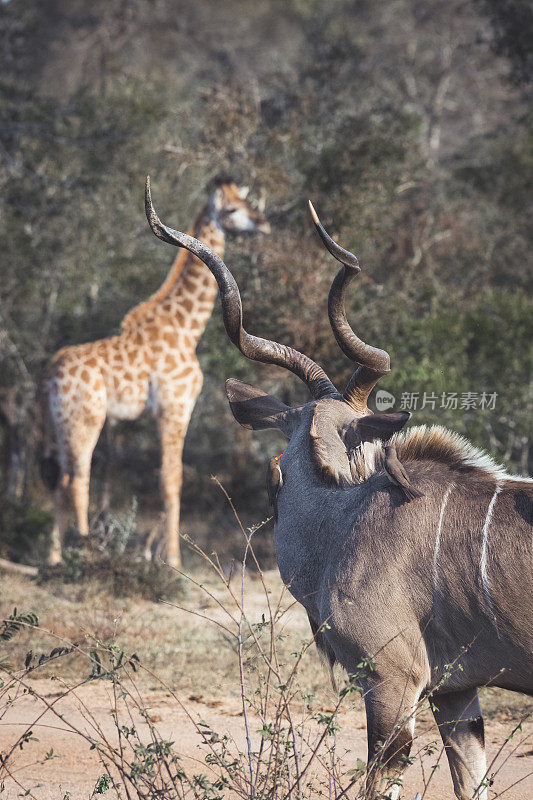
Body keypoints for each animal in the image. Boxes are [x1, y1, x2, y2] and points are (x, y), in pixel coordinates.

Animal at [40, 178, 270, 568]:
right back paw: (87, 553)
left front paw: (155, 553)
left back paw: (54, 557)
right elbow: (171, 479)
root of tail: (49, 375)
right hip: (87, 419)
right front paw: (173, 560)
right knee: (79, 479)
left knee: (63, 478)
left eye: (248, 201)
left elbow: (165, 477)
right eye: (232, 209)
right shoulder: (174, 406)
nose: (263, 224)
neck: (187, 328)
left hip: (62, 422)